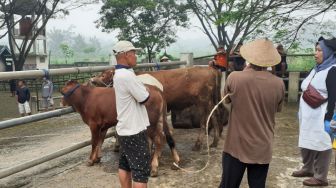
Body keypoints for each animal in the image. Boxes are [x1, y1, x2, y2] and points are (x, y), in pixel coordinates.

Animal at [90, 67, 226, 151]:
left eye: (103, 74)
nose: (91, 80)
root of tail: (210, 69)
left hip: (202, 102)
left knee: (204, 122)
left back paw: (198, 145)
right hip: (209, 102)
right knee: (214, 115)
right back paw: (214, 142)